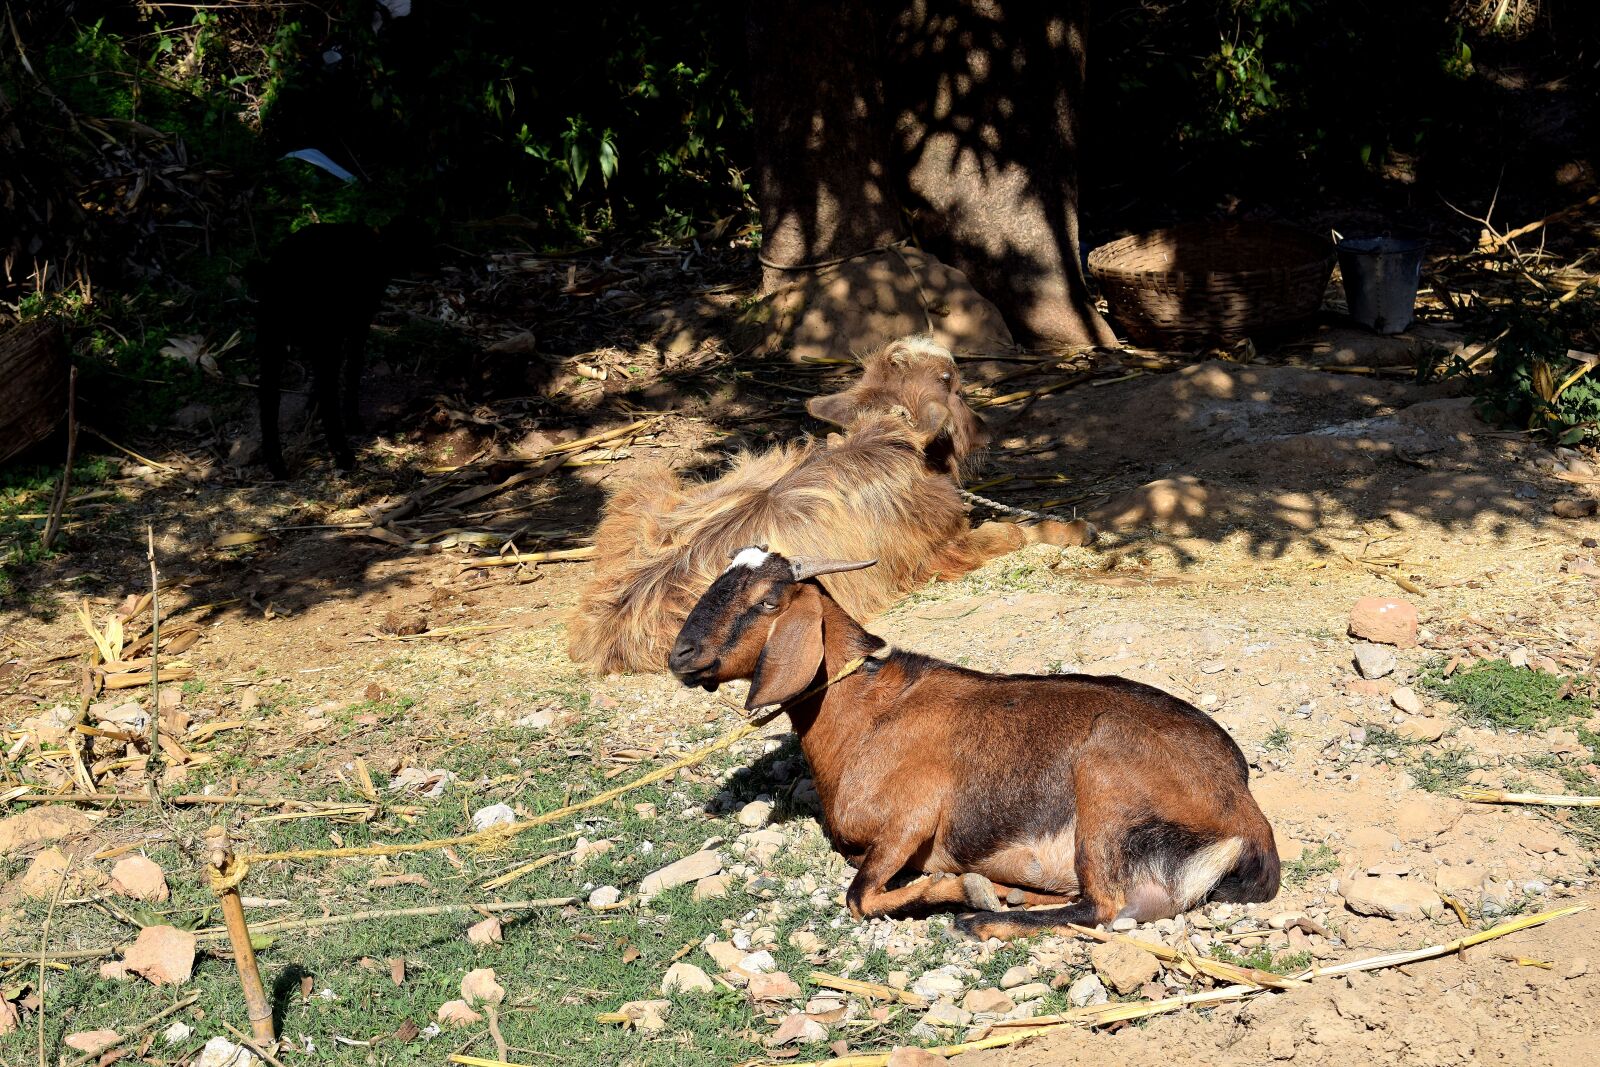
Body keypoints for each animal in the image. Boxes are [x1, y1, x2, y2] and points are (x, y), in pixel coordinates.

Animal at [566, 336, 1094, 675]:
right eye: (956, 388)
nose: (985, 431)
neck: (885, 443)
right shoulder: (937, 553)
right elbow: (1010, 532)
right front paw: (1077, 530)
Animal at [668, 548, 1280, 938]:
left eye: (768, 600)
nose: (680, 656)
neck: (866, 713)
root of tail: (1245, 811)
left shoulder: (909, 820)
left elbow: (859, 897)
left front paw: (965, 890)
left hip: (1104, 785)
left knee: (1106, 907)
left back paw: (984, 916)